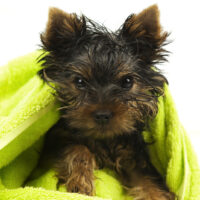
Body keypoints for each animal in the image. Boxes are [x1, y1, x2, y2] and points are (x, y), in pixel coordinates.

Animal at [38, 4, 175, 200]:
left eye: (127, 82)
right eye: (79, 81)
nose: (103, 115)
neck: (103, 140)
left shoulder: (133, 156)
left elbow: (148, 180)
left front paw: (156, 194)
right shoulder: (52, 143)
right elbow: (76, 147)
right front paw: (80, 180)